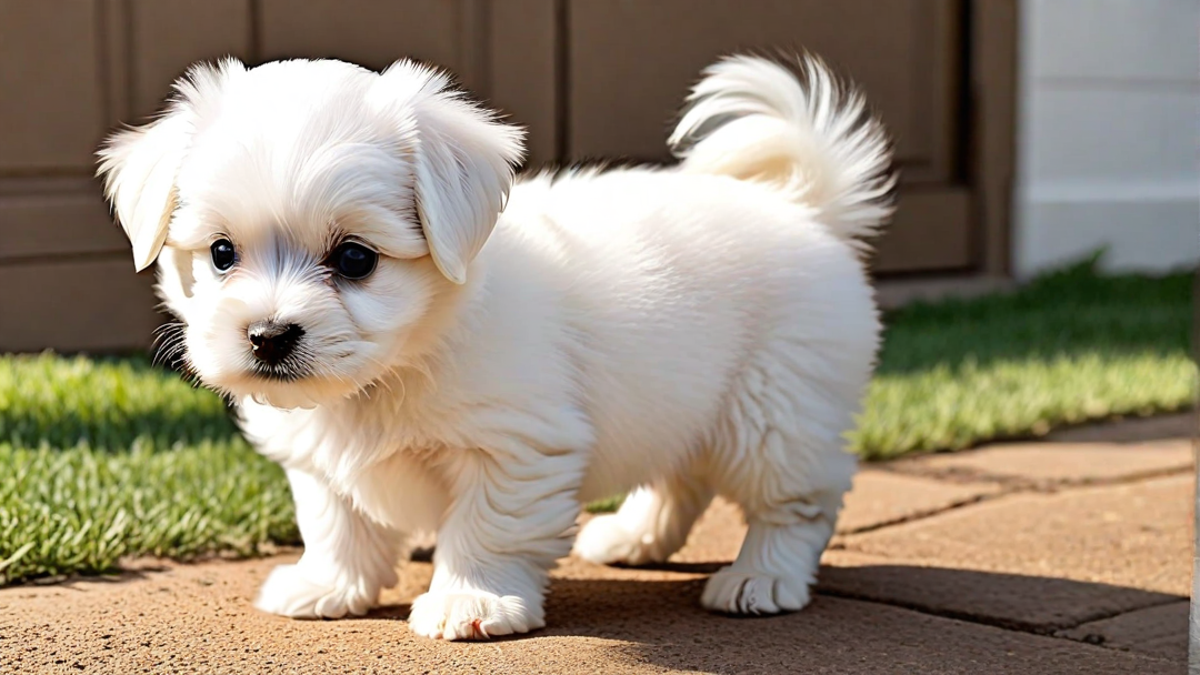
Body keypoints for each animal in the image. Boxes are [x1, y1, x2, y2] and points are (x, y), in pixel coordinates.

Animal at [100, 52, 892, 634]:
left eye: (355, 258)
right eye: (222, 253)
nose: (268, 335)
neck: (394, 369)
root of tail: (803, 207)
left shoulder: (516, 446)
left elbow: (487, 528)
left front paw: (470, 602)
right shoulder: (321, 463)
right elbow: (336, 520)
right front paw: (328, 587)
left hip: (774, 410)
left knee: (801, 499)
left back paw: (762, 576)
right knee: (681, 478)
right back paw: (632, 539)